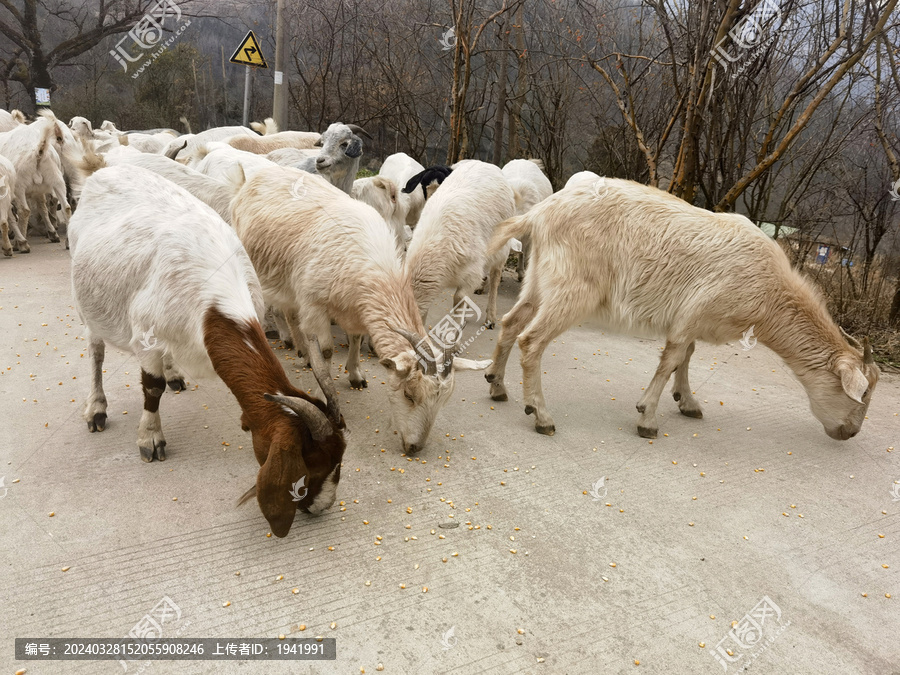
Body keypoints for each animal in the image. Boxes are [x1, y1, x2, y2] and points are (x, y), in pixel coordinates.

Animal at [67, 165, 344, 540]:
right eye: (310, 466)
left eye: (338, 461)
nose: (322, 507)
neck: (214, 298)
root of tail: (103, 170)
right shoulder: (146, 339)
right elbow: (151, 388)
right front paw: (150, 439)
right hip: (87, 302)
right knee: (95, 351)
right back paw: (96, 408)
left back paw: (174, 374)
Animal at [229, 166, 488, 454]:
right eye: (408, 395)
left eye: (443, 401)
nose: (414, 447)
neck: (372, 269)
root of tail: (251, 177)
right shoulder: (315, 305)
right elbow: (327, 351)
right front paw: (322, 393)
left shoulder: (354, 309)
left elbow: (355, 338)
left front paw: (355, 375)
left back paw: (304, 351)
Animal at [404, 158, 516, 328]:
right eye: (423, 186)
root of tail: (484, 163)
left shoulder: (471, 273)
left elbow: (459, 298)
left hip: (502, 247)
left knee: (495, 277)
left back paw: (490, 317)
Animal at [486, 177, 880, 440]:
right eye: (861, 395)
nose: (849, 433)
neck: (770, 293)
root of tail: (540, 213)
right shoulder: (694, 313)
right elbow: (673, 357)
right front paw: (647, 418)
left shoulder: (693, 318)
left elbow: (686, 356)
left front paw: (687, 402)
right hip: (572, 289)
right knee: (531, 341)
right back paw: (541, 415)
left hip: (539, 279)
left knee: (510, 322)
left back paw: (497, 385)